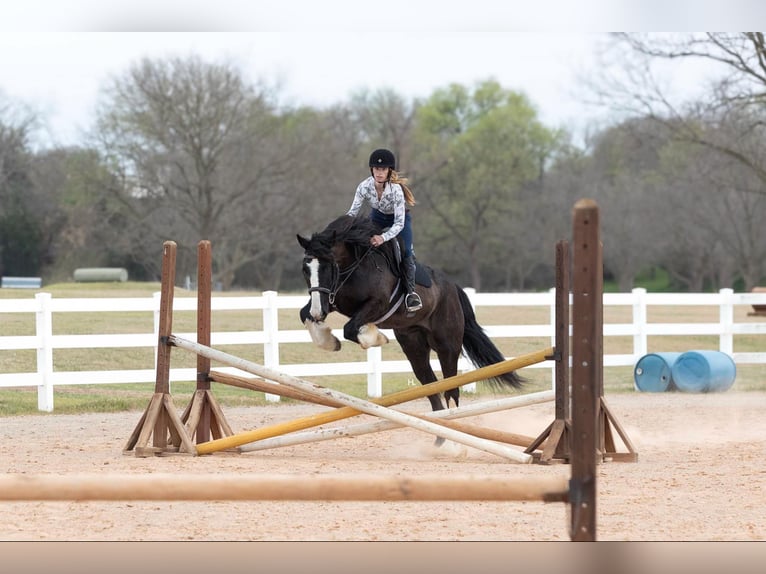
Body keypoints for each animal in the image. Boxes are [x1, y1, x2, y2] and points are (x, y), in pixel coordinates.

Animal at [296, 214, 525, 413]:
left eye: (328, 266)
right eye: (305, 269)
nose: (319, 312)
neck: (353, 266)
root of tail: (452, 287)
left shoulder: (377, 304)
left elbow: (350, 328)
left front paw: (374, 337)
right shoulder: (330, 299)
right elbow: (304, 314)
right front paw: (328, 341)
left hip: (447, 346)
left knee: (451, 389)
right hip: (414, 345)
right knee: (431, 385)